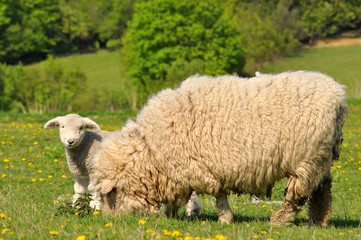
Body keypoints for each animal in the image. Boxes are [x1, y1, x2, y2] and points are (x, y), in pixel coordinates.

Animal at [88, 70, 348, 226]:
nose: (109, 221)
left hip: (307, 159)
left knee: (298, 195)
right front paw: (169, 215)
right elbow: (192, 197)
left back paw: (280, 220)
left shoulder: (199, 169)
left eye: (109, 194)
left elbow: (218, 196)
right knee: (323, 189)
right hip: (320, 158)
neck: (151, 152)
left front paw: (224, 219)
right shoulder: (186, 171)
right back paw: (318, 221)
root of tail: (339, 96)